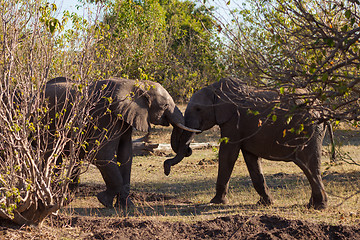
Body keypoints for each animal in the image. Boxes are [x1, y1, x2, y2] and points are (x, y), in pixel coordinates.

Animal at [45, 77, 200, 208]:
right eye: (165, 105)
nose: (166, 171)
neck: (135, 84)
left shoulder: (125, 118)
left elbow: (125, 154)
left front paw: (126, 205)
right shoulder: (105, 116)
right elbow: (101, 154)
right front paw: (104, 201)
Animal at [165, 77, 334, 210]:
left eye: (198, 109)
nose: (166, 170)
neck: (215, 90)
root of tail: (324, 109)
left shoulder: (234, 121)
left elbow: (227, 154)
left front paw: (215, 202)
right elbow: (251, 159)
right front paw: (265, 203)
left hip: (309, 130)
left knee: (309, 165)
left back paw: (319, 206)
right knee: (309, 167)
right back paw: (312, 205)